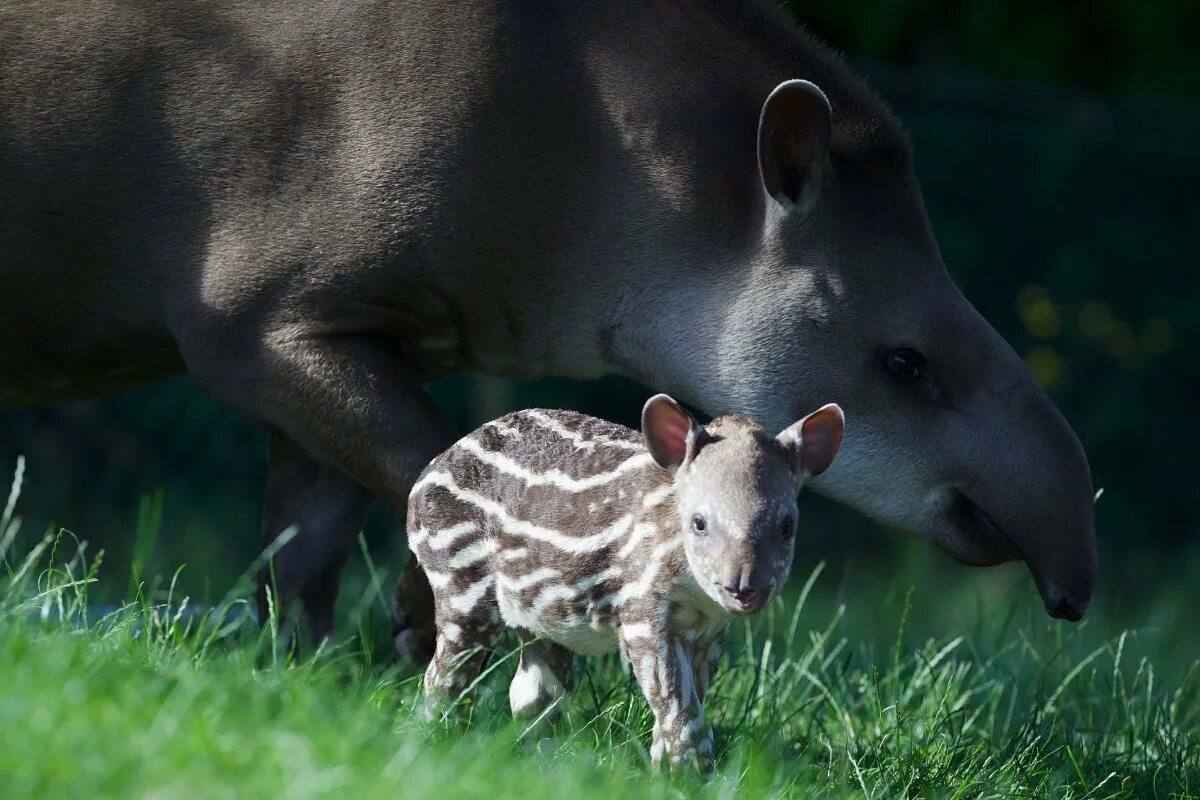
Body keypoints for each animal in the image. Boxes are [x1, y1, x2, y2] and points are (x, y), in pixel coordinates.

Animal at [410, 398, 844, 772]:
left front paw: (664, 772)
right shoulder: (644, 612)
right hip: (461, 577)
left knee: (534, 693)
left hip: (538, 612)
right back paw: (438, 740)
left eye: (787, 525)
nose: (743, 588)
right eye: (699, 522)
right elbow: (678, 707)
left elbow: (685, 706)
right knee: (446, 673)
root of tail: (429, 471)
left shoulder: (710, 631)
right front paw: (692, 775)